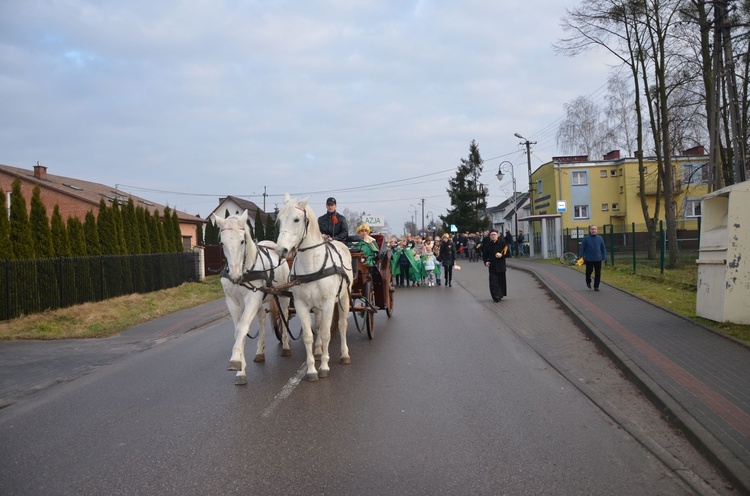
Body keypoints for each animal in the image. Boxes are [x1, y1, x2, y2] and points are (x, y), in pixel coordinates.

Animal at [214, 211, 294, 386]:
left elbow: (243, 327)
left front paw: (235, 360)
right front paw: (241, 371)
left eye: (242, 241)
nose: (235, 276)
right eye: (222, 243)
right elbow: (238, 332)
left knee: (284, 315)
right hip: (261, 303)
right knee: (262, 320)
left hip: (283, 295)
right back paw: (260, 352)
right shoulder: (232, 302)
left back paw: (286, 346)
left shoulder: (252, 299)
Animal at [276, 193, 356, 380]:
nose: (280, 250)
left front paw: (324, 366)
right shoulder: (301, 305)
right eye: (279, 219)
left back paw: (344, 355)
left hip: (344, 298)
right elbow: (308, 336)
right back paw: (319, 352)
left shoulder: (328, 303)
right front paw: (312, 369)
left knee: (342, 325)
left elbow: (327, 333)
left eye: (296, 219)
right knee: (318, 326)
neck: (312, 265)